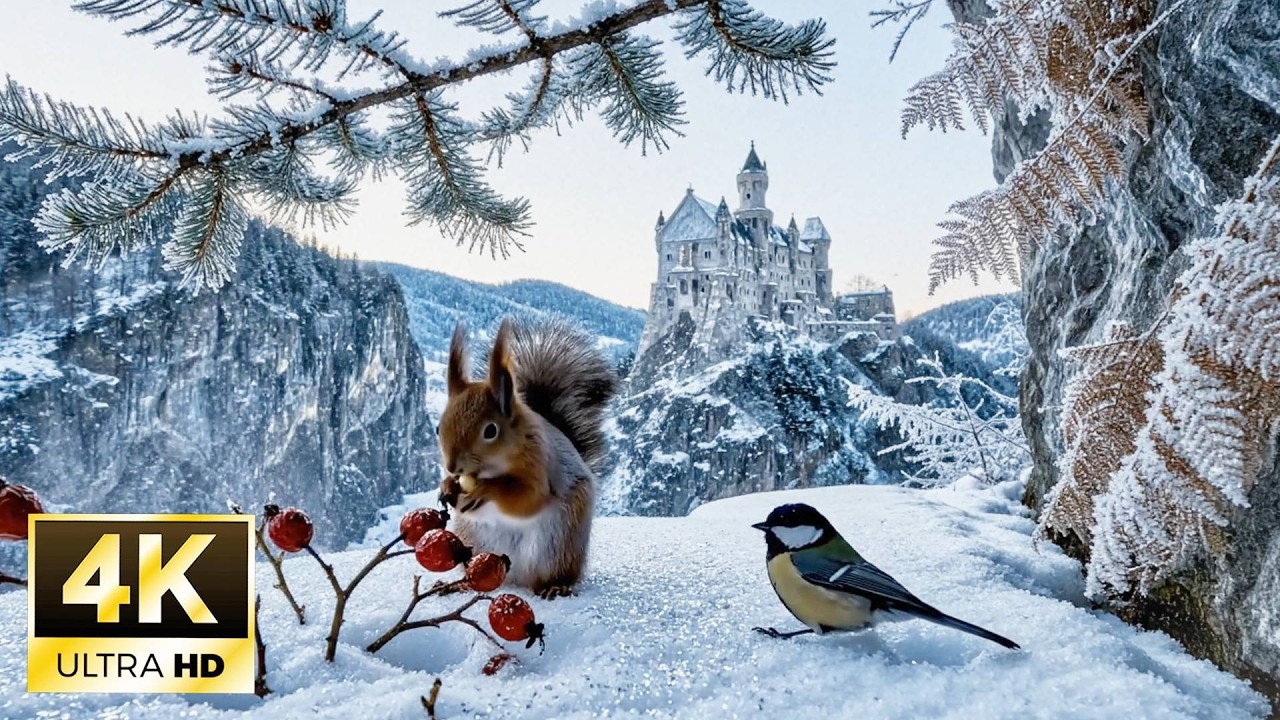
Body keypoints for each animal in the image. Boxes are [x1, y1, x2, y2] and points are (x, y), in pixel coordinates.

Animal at [436, 318, 616, 599]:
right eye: (438, 428)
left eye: (491, 430)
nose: (452, 467)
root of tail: (516, 579)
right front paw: (446, 486)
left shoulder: (540, 463)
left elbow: (528, 499)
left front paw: (488, 490)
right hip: (474, 543)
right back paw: (456, 585)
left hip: (559, 545)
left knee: (550, 575)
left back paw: (555, 586)